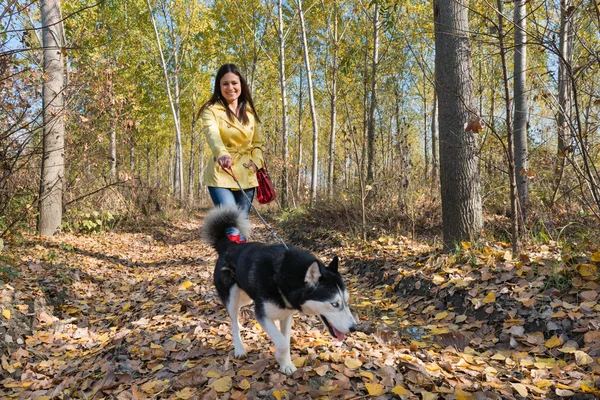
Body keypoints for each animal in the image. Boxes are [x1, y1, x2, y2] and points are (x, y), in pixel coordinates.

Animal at [204, 206, 358, 376]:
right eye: (334, 304)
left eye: (346, 302)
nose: (354, 328)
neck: (283, 276)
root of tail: (228, 245)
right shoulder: (262, 314)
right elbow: (283, 342)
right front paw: (280, 357)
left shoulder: (286, 315)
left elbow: (286, 340)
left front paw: (286, 363)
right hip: (232, 296)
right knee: (232, 320)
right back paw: (239, 348)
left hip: (246, 297)